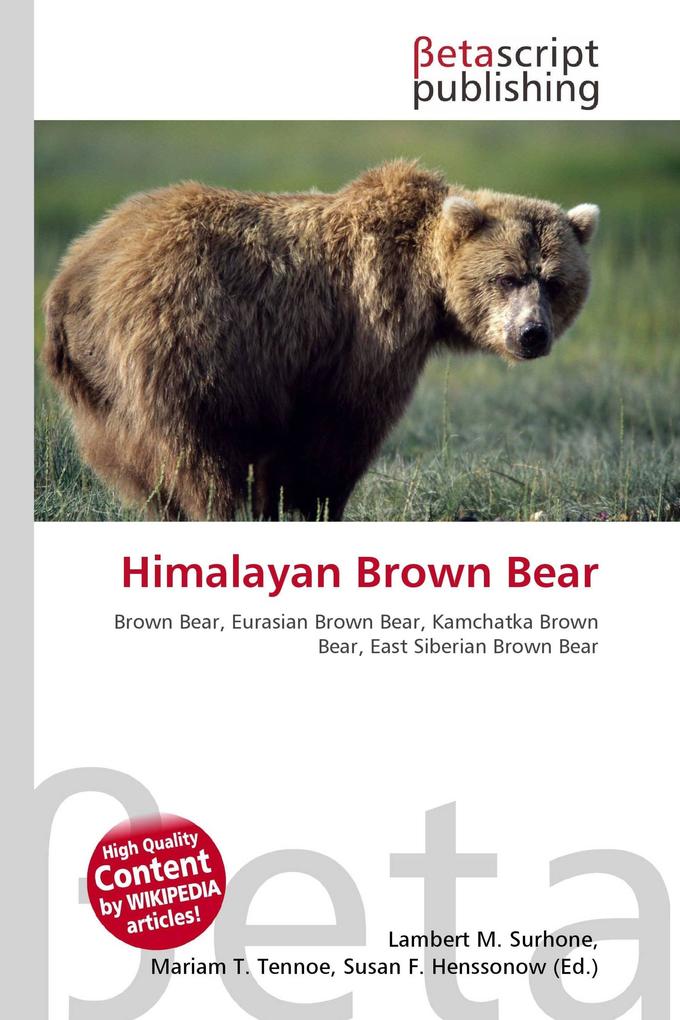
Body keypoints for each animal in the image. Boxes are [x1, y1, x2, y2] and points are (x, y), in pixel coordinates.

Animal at [43, 160, 598, 521]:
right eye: (507, 277)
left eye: (553, 281)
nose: (531, 333)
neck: (427, 285)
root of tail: (76, 272)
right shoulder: (363, 330)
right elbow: (340, 429)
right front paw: (311, 503)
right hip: (185, 340)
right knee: (197, 447)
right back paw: (218, 509)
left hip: (99, 388)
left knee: (134, 460)